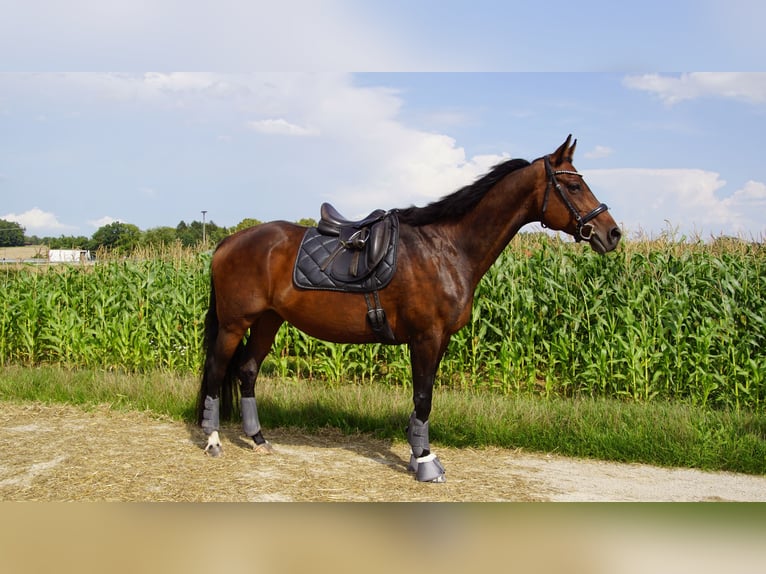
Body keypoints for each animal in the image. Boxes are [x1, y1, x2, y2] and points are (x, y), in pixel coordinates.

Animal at [195, 137, 620, 484]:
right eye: (574, 185)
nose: (611, 233)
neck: (446, 248)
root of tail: (228, 242)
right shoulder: (426, 337)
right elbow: (423, 398)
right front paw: (426, 463)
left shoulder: (438, 340)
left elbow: (423, 399)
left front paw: (419, 456)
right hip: (234, 323)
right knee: (216, 370)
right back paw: (213, 440)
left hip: (269, 321)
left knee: (247, 370)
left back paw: (258, 439)